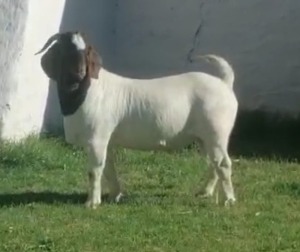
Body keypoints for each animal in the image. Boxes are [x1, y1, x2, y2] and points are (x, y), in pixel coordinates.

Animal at [35, 31, 238, 209]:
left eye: (86, 51)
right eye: (64, 49)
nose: (79, 72)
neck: (88, 89)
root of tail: (224, 83)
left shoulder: (97, 139)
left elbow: (94, 171)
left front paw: (92, 203)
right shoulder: (107, 140)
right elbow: (109, 169)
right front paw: (114, 196)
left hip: (216, 132)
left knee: (223, 164)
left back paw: (229, 200)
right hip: (204, 138)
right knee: (213, 164)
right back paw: (205, 192)